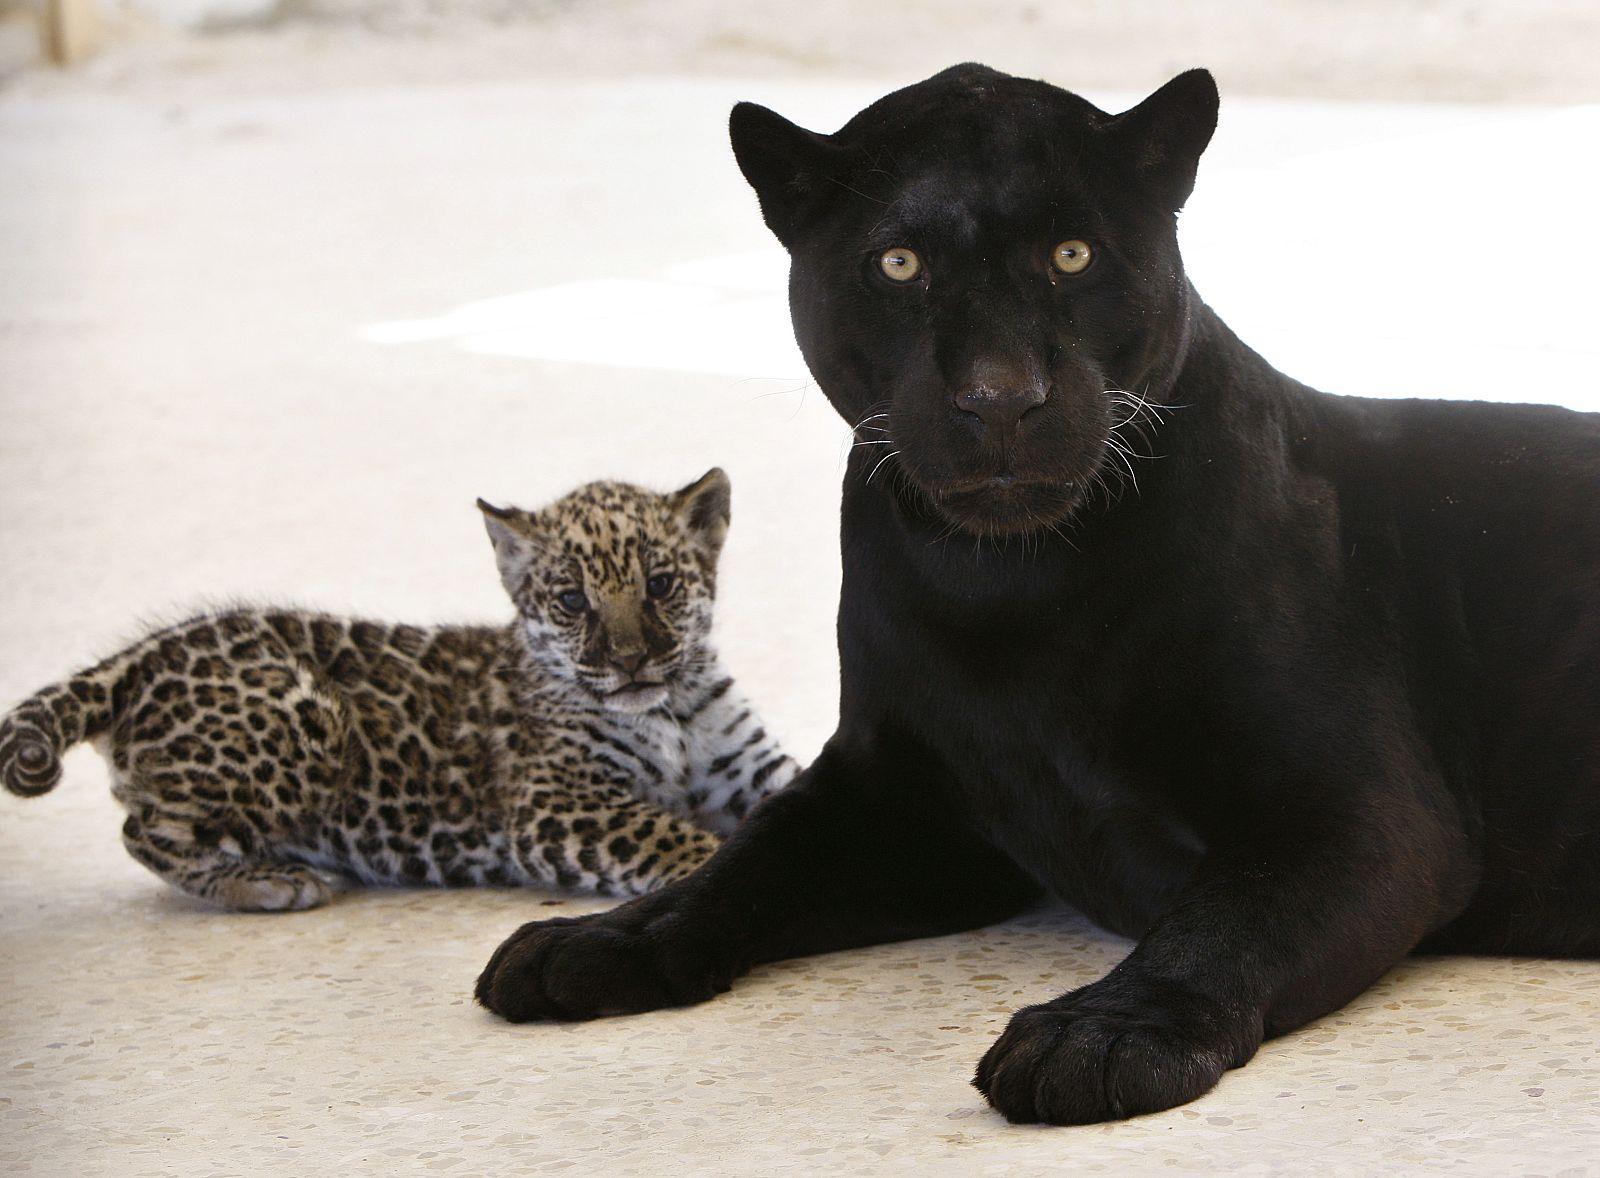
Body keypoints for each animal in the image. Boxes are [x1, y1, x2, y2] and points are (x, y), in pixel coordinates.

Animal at [0, 468, 797, 911]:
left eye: (659, 585)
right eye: (572, 600)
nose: (631, 661)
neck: (671, 710)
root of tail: (135, 656)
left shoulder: (746, 766)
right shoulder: (556, 803)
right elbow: (669, 833)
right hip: (310, 726)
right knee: (143, 830)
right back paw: (269, 883)